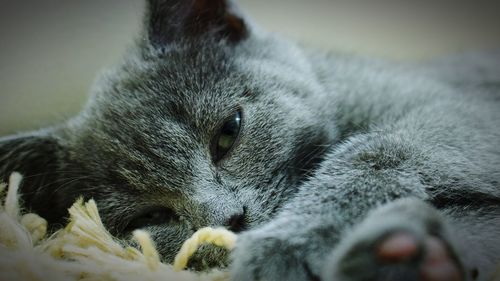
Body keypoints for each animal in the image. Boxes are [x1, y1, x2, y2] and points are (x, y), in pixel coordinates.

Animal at [0, 0, 500, 280]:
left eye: (228, 134)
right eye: (151, 216)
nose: (231, 219)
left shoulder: (454, 109)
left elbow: (371, 154)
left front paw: (286, 246)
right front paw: (407, 256)